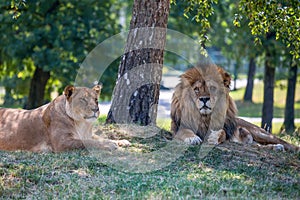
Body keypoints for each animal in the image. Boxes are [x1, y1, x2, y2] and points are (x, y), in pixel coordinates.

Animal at [0, 85, 129, 152]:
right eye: (83, 99)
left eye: (96, 100)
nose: (96, 109)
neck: (81, 123)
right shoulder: (62, 142)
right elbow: (87, 142)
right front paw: (110, 145)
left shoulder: (87, 134)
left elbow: (101, 138)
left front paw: (121, 141)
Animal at [171, 64, 300, 152]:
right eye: (196, 89)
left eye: (212, 88)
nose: (204, 99)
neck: (205, 117)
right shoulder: (178, 127)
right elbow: (185, 131)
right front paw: (193, 138)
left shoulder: (225, 129)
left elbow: (222, 133)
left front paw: (214, 137)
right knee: (258, 146)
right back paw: (276, 147)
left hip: (261, 133)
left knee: (284, 143)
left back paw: (283, 147)